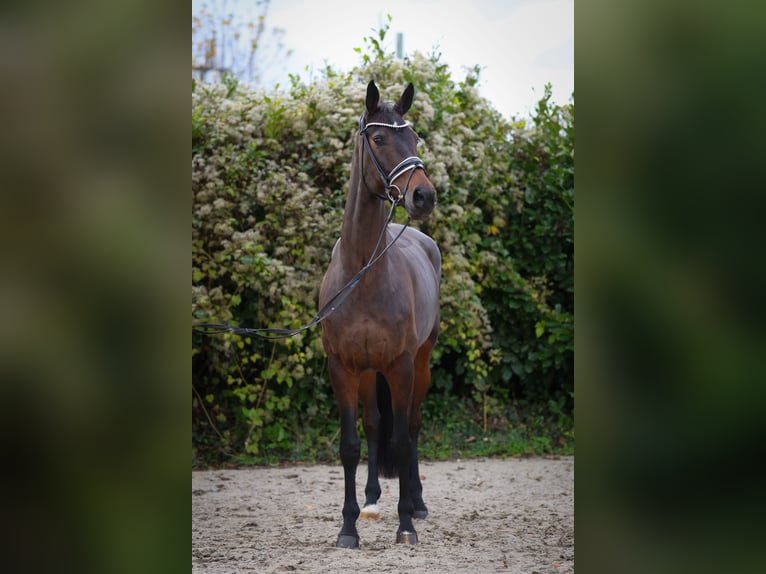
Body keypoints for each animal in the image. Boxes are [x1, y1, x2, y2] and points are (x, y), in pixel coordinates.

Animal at [318, 80, 440, 548]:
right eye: (380, 139)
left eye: (416, 138)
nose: (424, 195)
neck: (362, 275)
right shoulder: (342, 367)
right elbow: (351, 444)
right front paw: (348, 527)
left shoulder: (401, 366)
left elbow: (402, 440)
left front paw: (406, 524)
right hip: (368, 372)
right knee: (373, 426)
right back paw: (371, 501)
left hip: (421, 363)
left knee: (413, 428)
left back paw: (417, 505)